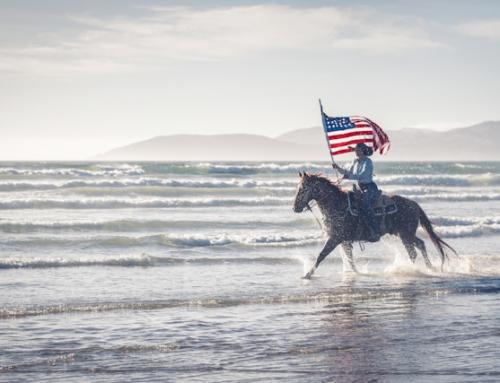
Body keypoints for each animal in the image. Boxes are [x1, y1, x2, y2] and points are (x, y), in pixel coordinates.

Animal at [292, 173, 458, 280]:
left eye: (303, 188)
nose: (295, 207)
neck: (337, 205)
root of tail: (414, 205)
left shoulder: (335, 238)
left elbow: (322, 255)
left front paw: (307, 274)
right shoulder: (343, 240)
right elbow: (349, 259)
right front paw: (355, 272)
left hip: (405, 235)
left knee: (413, 252)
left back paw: (413, 270)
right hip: (404, 233)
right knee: (421, 244)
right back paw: (429, 268)